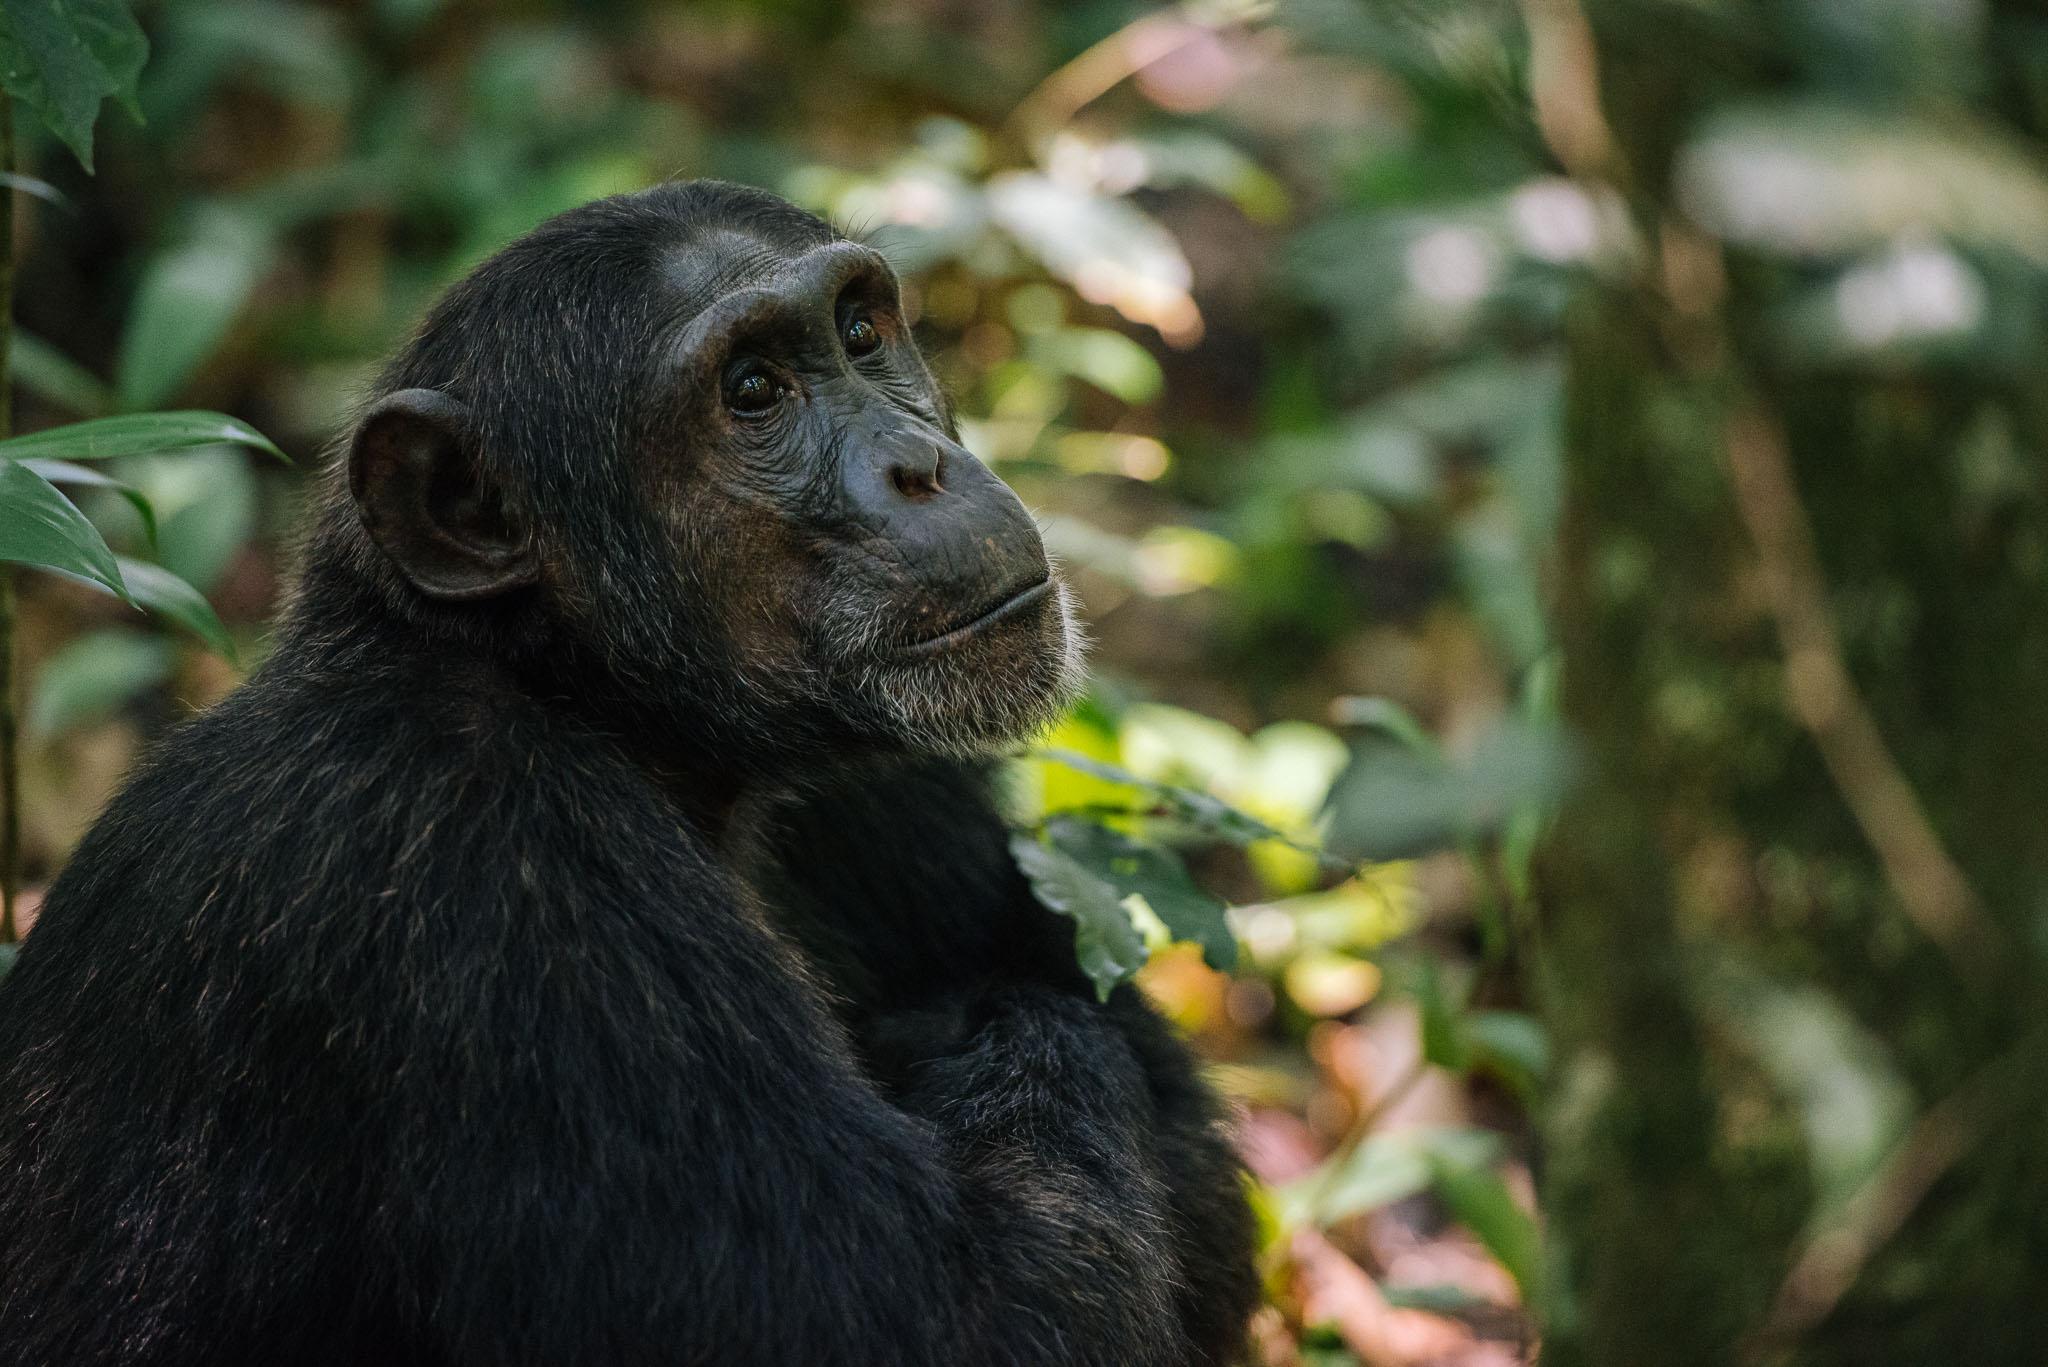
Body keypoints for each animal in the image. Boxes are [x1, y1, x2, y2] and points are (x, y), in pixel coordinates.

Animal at [0, 184, 1261, 1367]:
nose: (922, 466)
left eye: (859, 331)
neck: (590, 701)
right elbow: (947, 1313)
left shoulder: (891, 781)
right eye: (751, 392)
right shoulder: (491, 880)